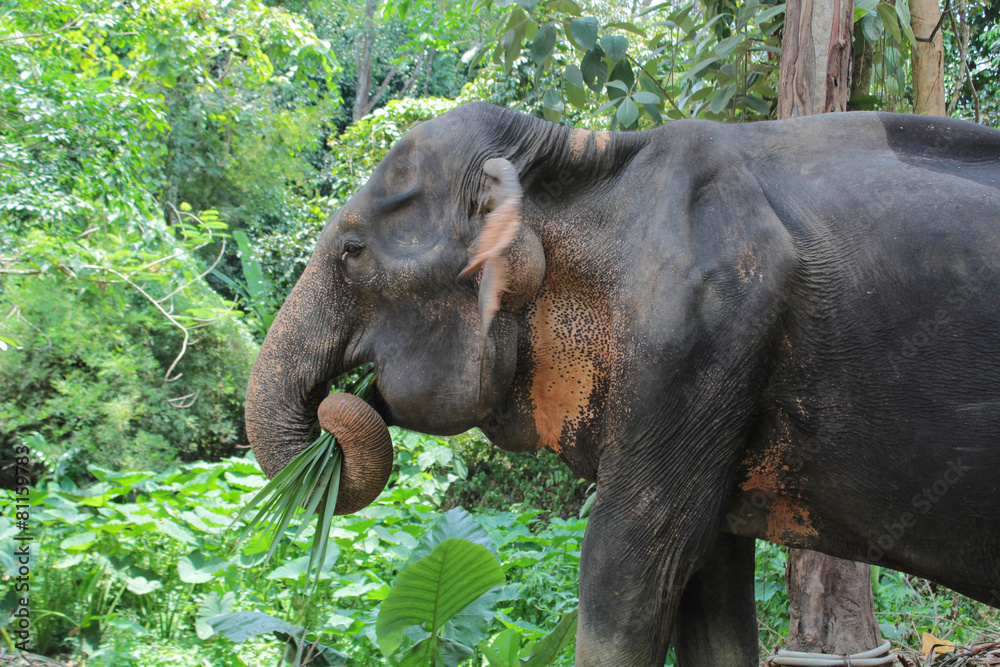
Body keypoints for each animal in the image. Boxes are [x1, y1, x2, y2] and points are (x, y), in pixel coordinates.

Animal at [244, 102, 1000, 666]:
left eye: (351, 252)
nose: (339, 411)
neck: (581, 162)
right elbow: (712, 573)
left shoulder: (698, 331)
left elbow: (632, 557)